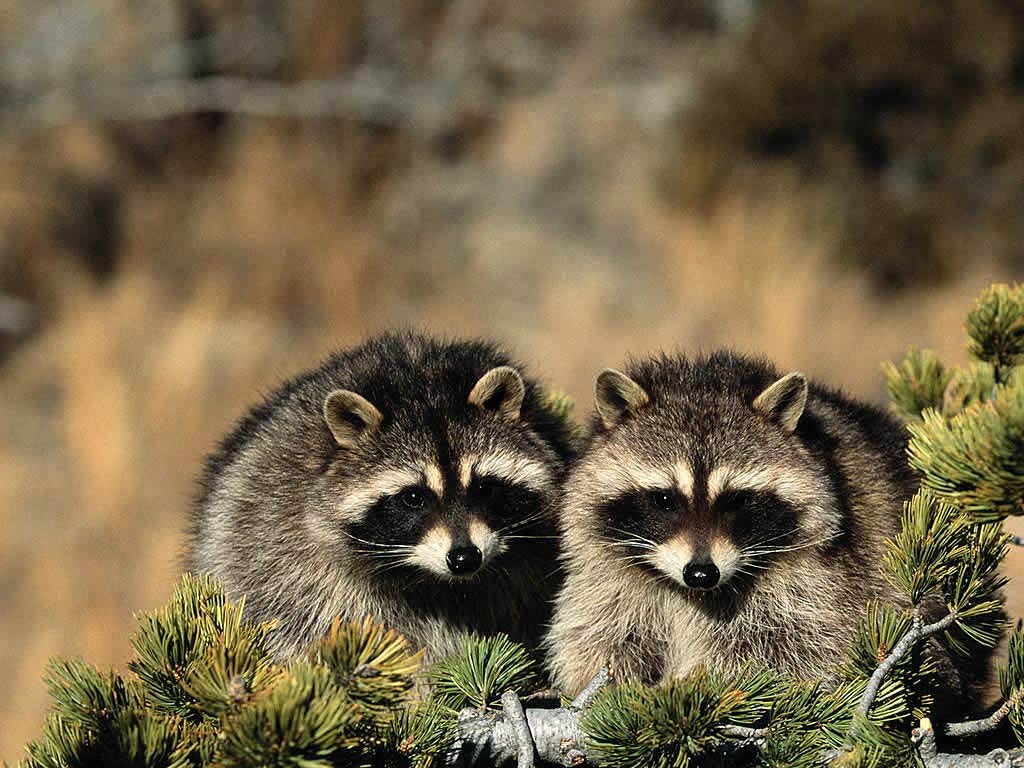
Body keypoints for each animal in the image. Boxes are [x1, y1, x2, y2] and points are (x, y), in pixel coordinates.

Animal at [546, 350, 930, 694]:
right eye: (665, 500)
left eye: (736, 500)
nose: (701, 574)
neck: (692, 594)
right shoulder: (610, 581)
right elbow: (601, 637)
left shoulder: (822, 580)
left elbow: (792, 650)